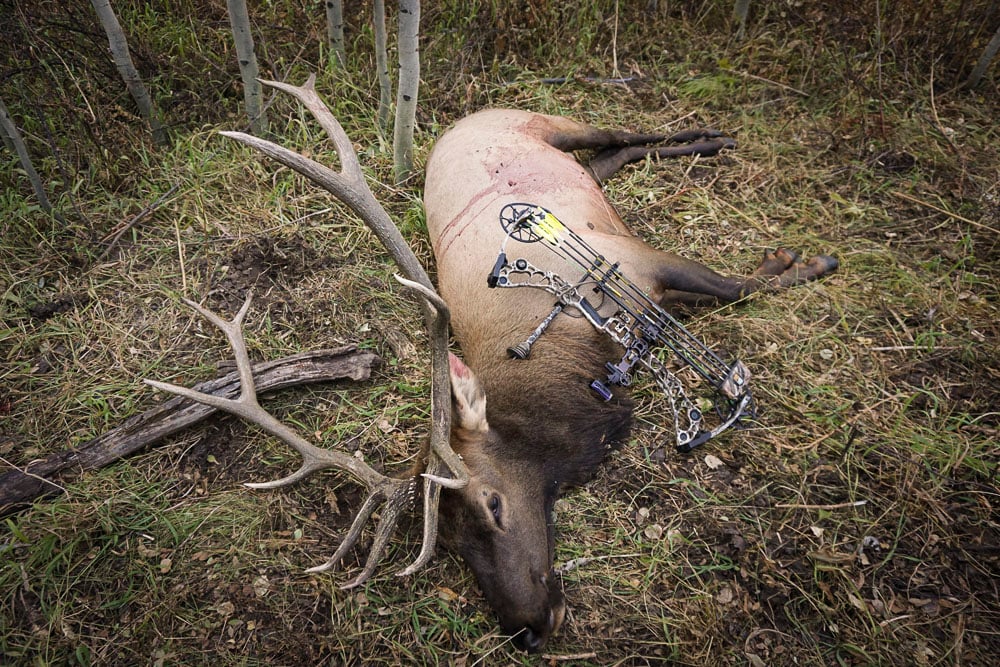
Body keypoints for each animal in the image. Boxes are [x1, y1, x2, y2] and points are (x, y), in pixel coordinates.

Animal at [146, 76, 837, 653]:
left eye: (493, 504)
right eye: (449, 543)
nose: (527, 629)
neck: (575, 361)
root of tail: (461, 120)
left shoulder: (638, 260)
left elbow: (738, 287)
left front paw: (802, 262)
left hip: (547, 118)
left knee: (621, 133)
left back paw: (712, 136)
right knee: (608, 162)